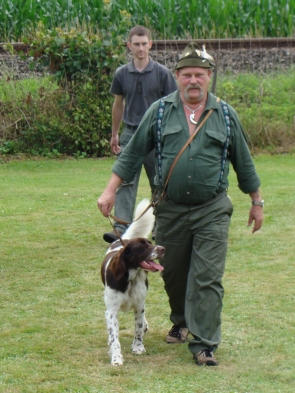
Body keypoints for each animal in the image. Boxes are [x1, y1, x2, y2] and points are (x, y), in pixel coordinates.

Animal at [101, 198, 165, 366]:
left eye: (150, 242)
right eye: (142, 247)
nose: (163, 249)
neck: (130, 278)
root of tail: (123, 240)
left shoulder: (138, 305)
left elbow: (138, 328)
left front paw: (138, 347)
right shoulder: (111, 311)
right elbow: (114, 338)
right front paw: (116, 358)